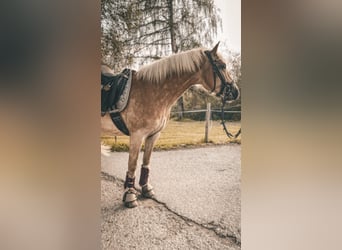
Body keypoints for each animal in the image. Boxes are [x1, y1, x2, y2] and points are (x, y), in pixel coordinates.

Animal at [99, 42, 238, 207]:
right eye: (222, 66)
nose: (235, 92)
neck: (152, 91)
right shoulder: (137, 136)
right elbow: (132, 165)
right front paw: (130, 195)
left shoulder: (153, 135)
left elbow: (146, 162)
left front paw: (146, 189)